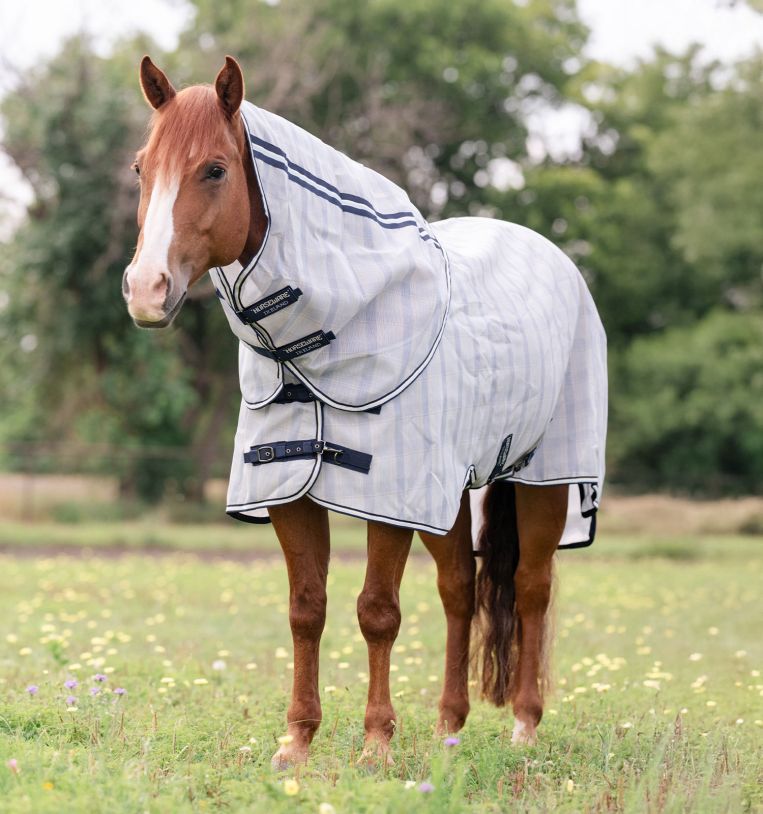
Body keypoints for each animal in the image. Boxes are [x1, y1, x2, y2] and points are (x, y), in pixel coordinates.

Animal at [123, 56, 607, 769]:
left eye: (214, 169)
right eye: (140, 168)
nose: (146, 289)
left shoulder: (390, 494)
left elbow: (377, 610)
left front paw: (376, 743)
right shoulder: (289, 488)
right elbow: (306, 608)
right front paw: (297, 741)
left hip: (540, 477)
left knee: (530, 587)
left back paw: (524, 726)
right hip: (448, 496)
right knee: (460, 589)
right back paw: (449, 726)